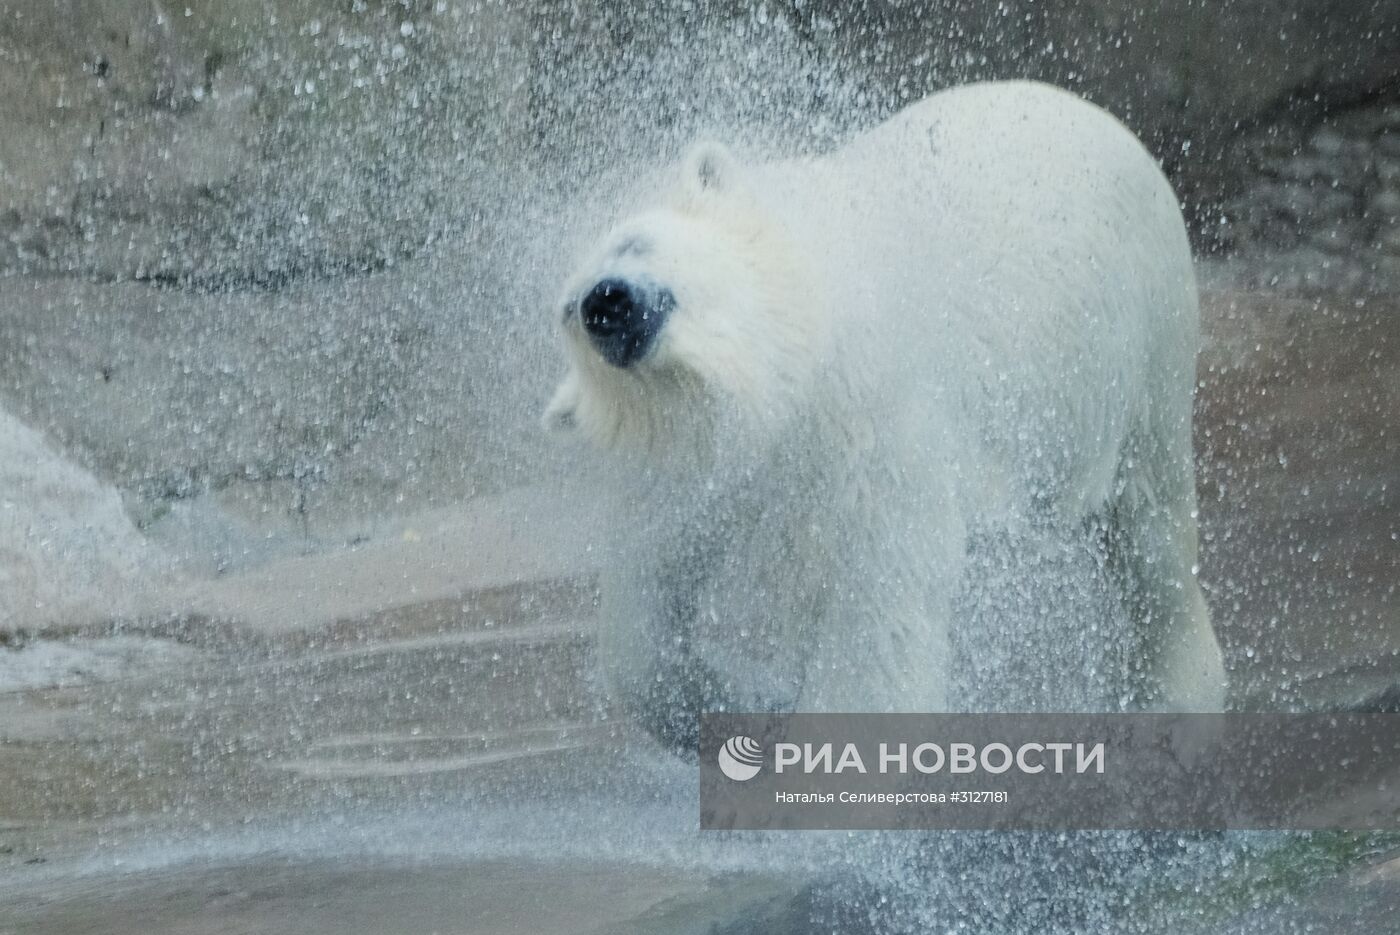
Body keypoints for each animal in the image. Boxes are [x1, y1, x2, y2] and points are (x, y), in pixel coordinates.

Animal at [540, 82, 1220, 750]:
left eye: (632, 242)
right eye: (569, 310)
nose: (606, 301)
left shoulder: (872, 426)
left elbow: (876, 619)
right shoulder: (691, 476)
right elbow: (646, 602)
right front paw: (736, 704)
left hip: (1140, 341)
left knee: (1150, 523)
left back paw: (1178, 700)